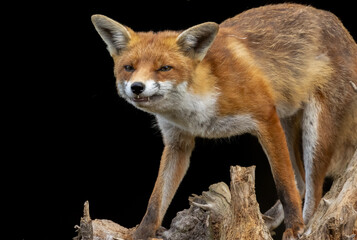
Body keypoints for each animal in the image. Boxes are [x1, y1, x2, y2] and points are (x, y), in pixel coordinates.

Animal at [92, 3, 356, 240]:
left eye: (165, 68)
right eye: (129, 68)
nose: (137, 87)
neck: (195, 108)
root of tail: (344, 31)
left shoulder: (265, 117)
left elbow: (284, 184)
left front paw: (295, 227)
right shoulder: (177, 142)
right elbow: (156, 201)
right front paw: (141, 234)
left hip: (313, 131)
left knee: (313, 189)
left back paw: (306, 227)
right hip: (287, 123)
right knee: (300, 181)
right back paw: (270, 219)